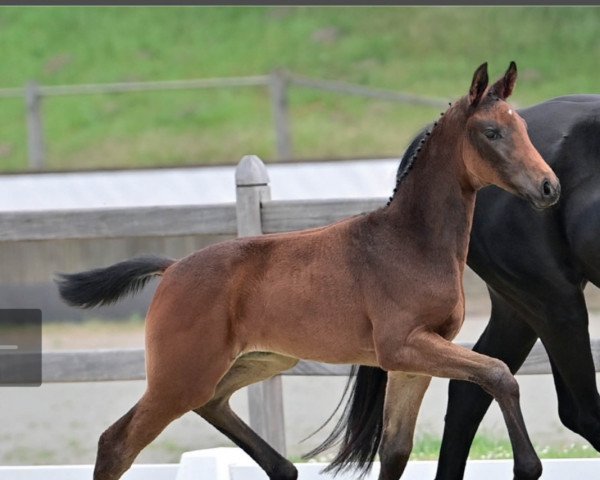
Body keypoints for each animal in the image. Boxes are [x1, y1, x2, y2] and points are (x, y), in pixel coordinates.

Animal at [58, 63, 560, 480]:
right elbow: (499, 373)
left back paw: (283, 468)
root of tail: (174, 267)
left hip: (259, 360)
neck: (411, 243)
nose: (549, 187)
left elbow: (396, 451)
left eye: (523, 127)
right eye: (492, 131)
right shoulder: (403, 346)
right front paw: (528, 467)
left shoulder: (414, 358)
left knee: (213, 403)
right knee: (116, 444)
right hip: (180, 375)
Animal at [312, 94, 600, 480]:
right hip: (554, 301)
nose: (547, 187)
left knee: (471, 391)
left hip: (525, 309)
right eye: (493, 134)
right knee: (580, 412)